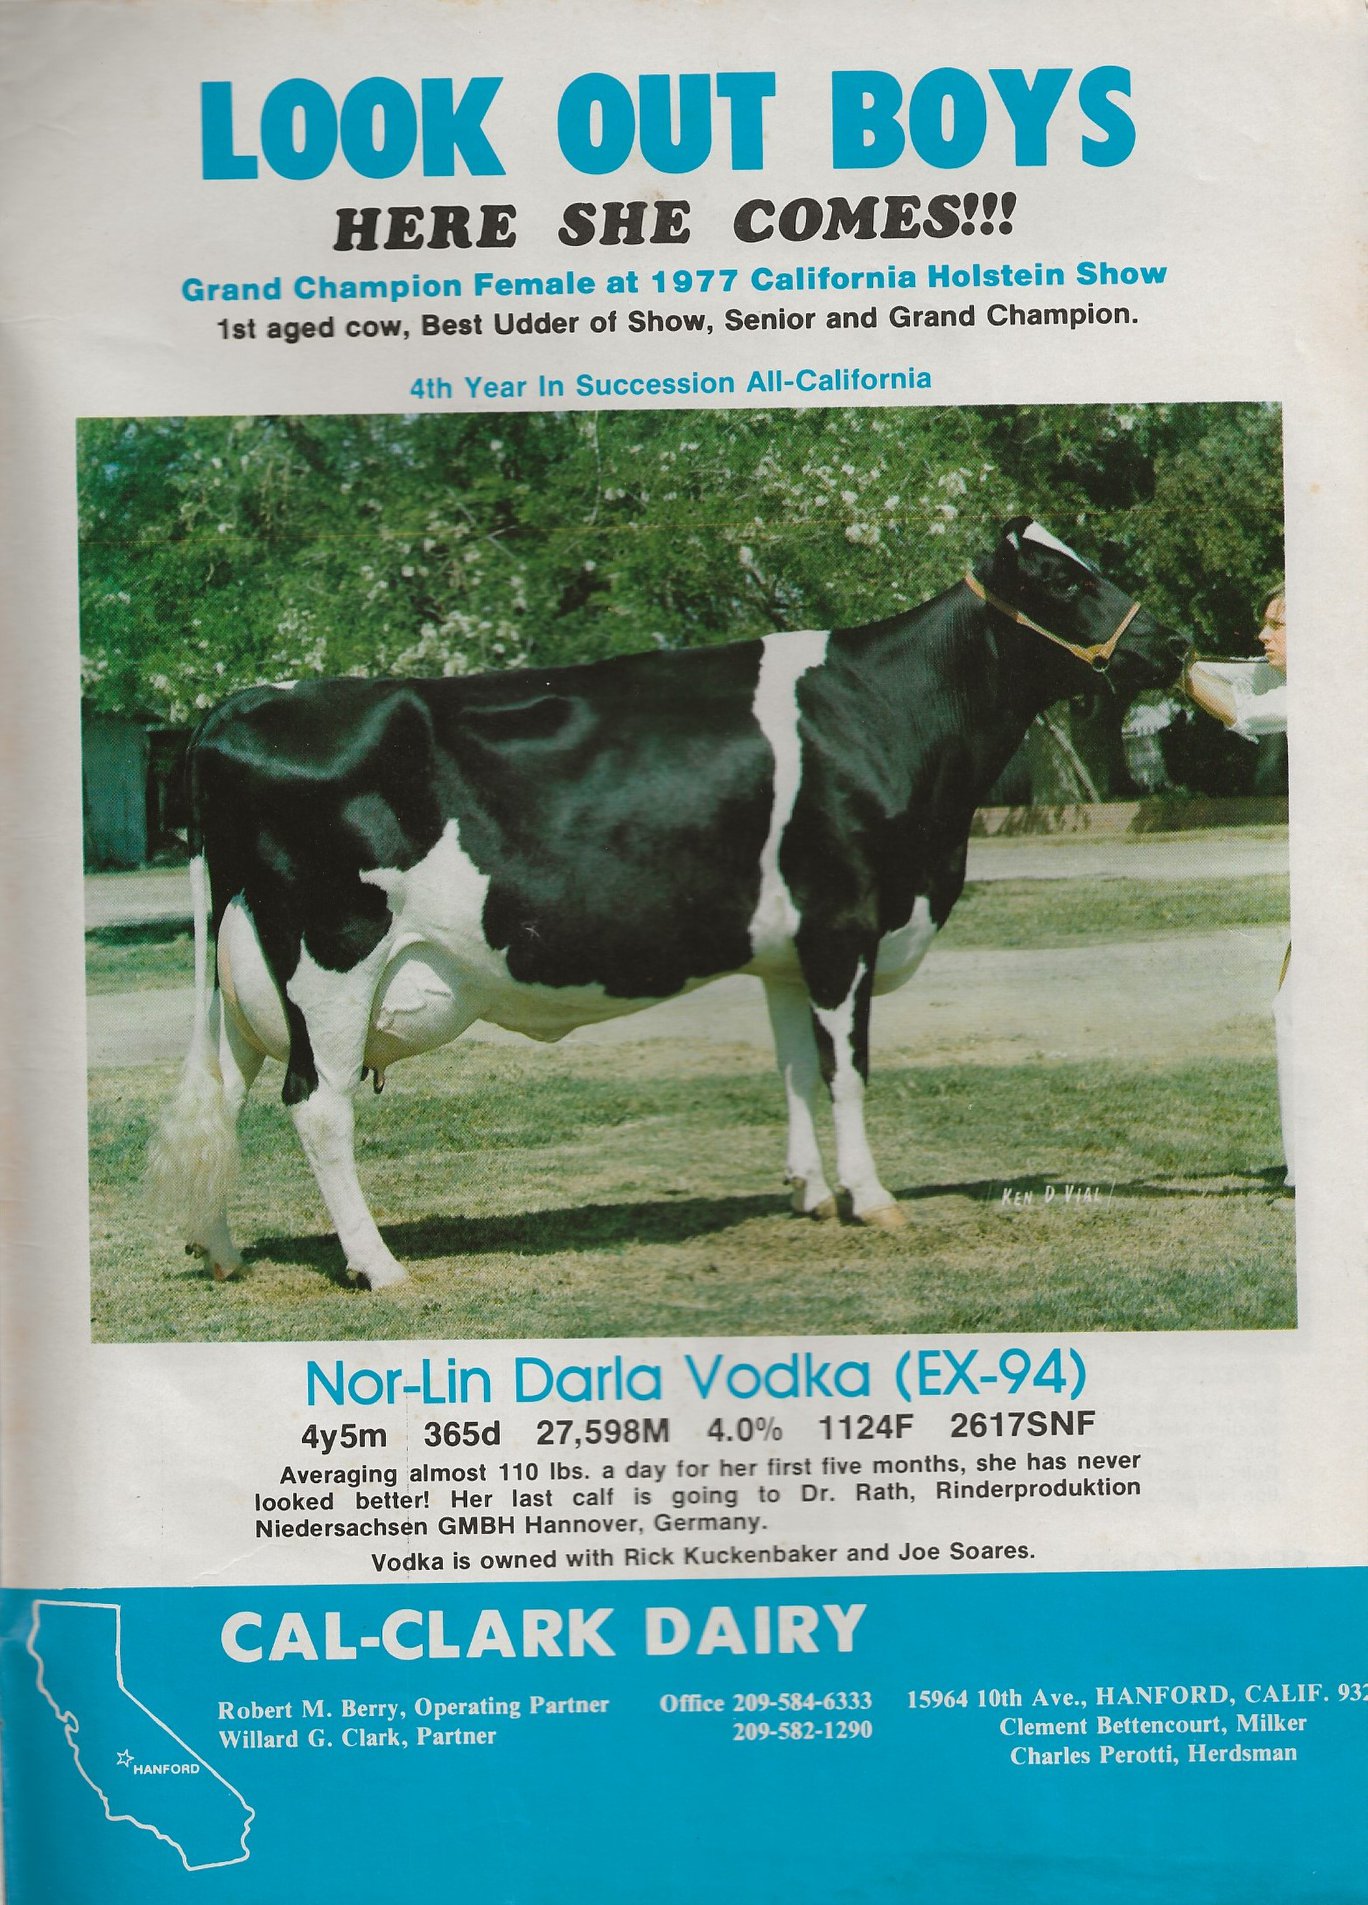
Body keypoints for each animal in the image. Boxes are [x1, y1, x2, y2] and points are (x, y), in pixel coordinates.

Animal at [149, 518, 1189, 1289]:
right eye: (1059, 580)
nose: (1172, 641)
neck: (887, 715)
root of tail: (239, 703)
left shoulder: (786, 948)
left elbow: (794, 1069)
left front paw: (810, 1193)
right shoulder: (845, 923)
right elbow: (847, 1071)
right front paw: (871, 1197)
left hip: (249, 976)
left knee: (229, 1092)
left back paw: (220, 1248)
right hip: (334, 956)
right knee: (317, 1105)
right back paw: (379, 1265)